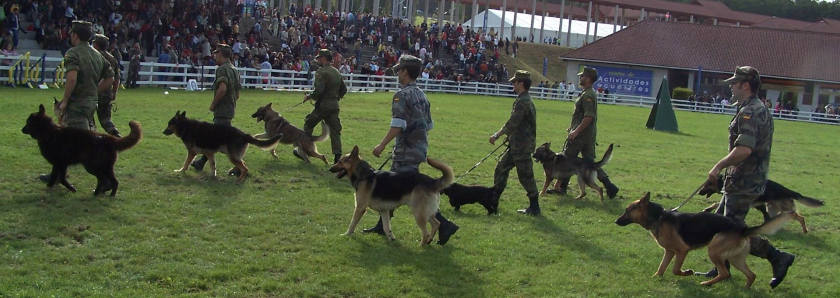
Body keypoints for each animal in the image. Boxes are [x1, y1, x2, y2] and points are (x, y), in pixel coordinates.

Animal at [612, 192, 792, 288]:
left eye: (627, 210)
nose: (615, 221)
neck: (658, 217)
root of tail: (742, 229)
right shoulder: (669, 251)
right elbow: (662, 267)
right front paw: (656, 278)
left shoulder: (681, 251)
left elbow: (675, 269)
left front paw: (687, 272)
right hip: (735, 258)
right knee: (751, 275)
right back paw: (746, 289)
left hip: (714, 251)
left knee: (725, 273)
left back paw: (707, 283)